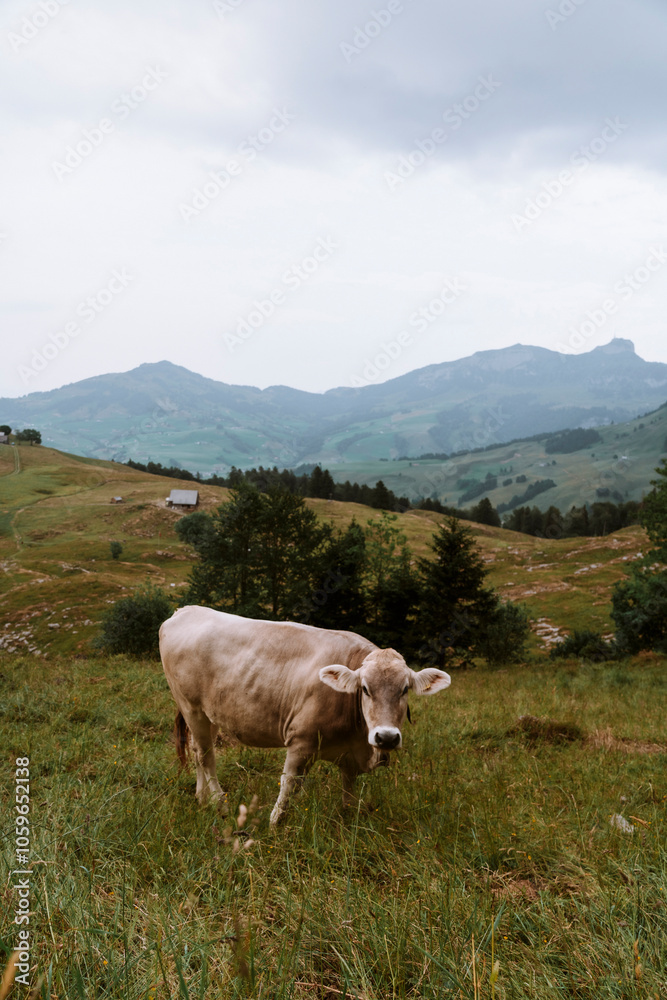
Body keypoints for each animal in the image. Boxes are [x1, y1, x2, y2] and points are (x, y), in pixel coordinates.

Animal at [159, 606, 451, 825]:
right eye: (365, 689)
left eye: (404, 689)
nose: (387, 737)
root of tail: (185, 611)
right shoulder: (301, 741)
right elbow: (288, 786)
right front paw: (274, 825)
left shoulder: (350, 754)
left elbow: (348, 792)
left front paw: (347, 822)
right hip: (191, 707)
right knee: (205, 755)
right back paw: (220, 804)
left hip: (210, 714)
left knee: (198, 749)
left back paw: (202, 799)